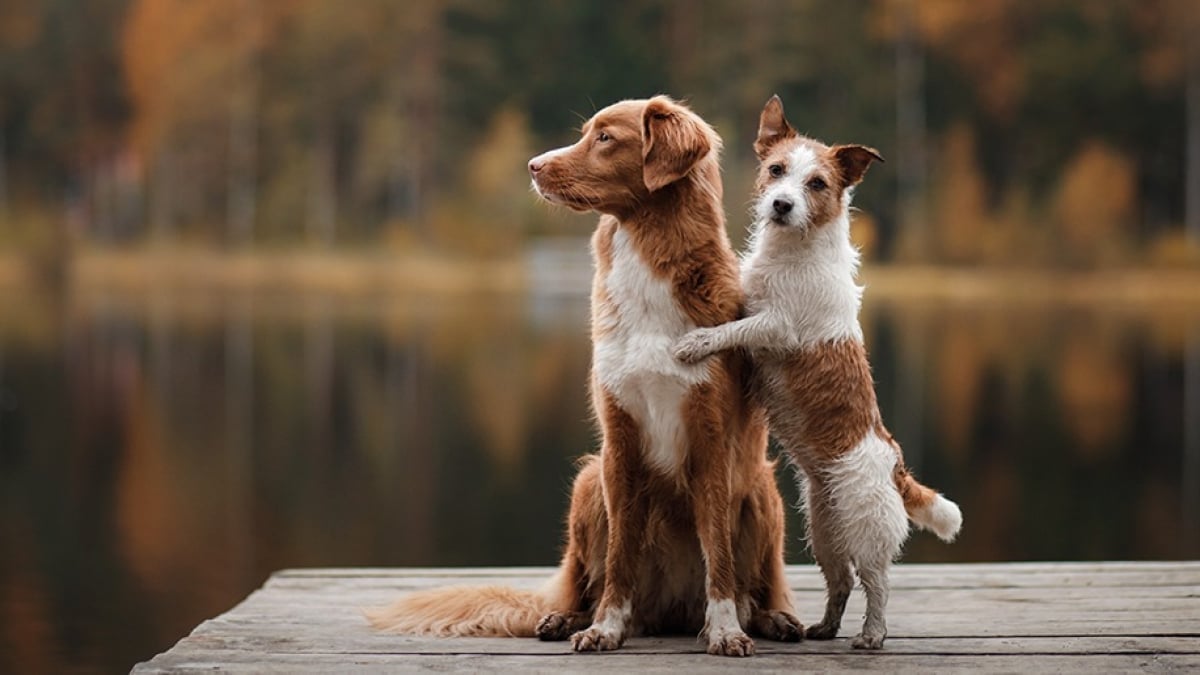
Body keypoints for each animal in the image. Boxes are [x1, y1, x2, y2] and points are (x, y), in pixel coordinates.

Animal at [364, 97, 796, 653]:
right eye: (587, 132)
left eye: (605, 138)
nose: (532, 166)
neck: (647, 256)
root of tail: (673, 610)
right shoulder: (619, 439)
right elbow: (618, 557)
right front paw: (605, 627)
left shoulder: (712, 440)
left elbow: (718, 553)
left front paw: (724, 631)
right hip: (588, 482)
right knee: (581, 580)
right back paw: (567, 618)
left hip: (763, 490)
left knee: (761, 585)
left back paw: (771, 619)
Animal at [676, 94, 964, 648]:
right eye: (776, 170)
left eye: (817, 184)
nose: (781, 205)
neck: (793, 252)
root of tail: (894, 465)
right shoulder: (753, 299)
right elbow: (736, 309)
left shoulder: (777, 325)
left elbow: (735, 329)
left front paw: (698, 341)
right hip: (825, 531)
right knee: (842, 580)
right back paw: (826, 626)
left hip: (865, 528)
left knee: (878, 583)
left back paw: (871, 634)